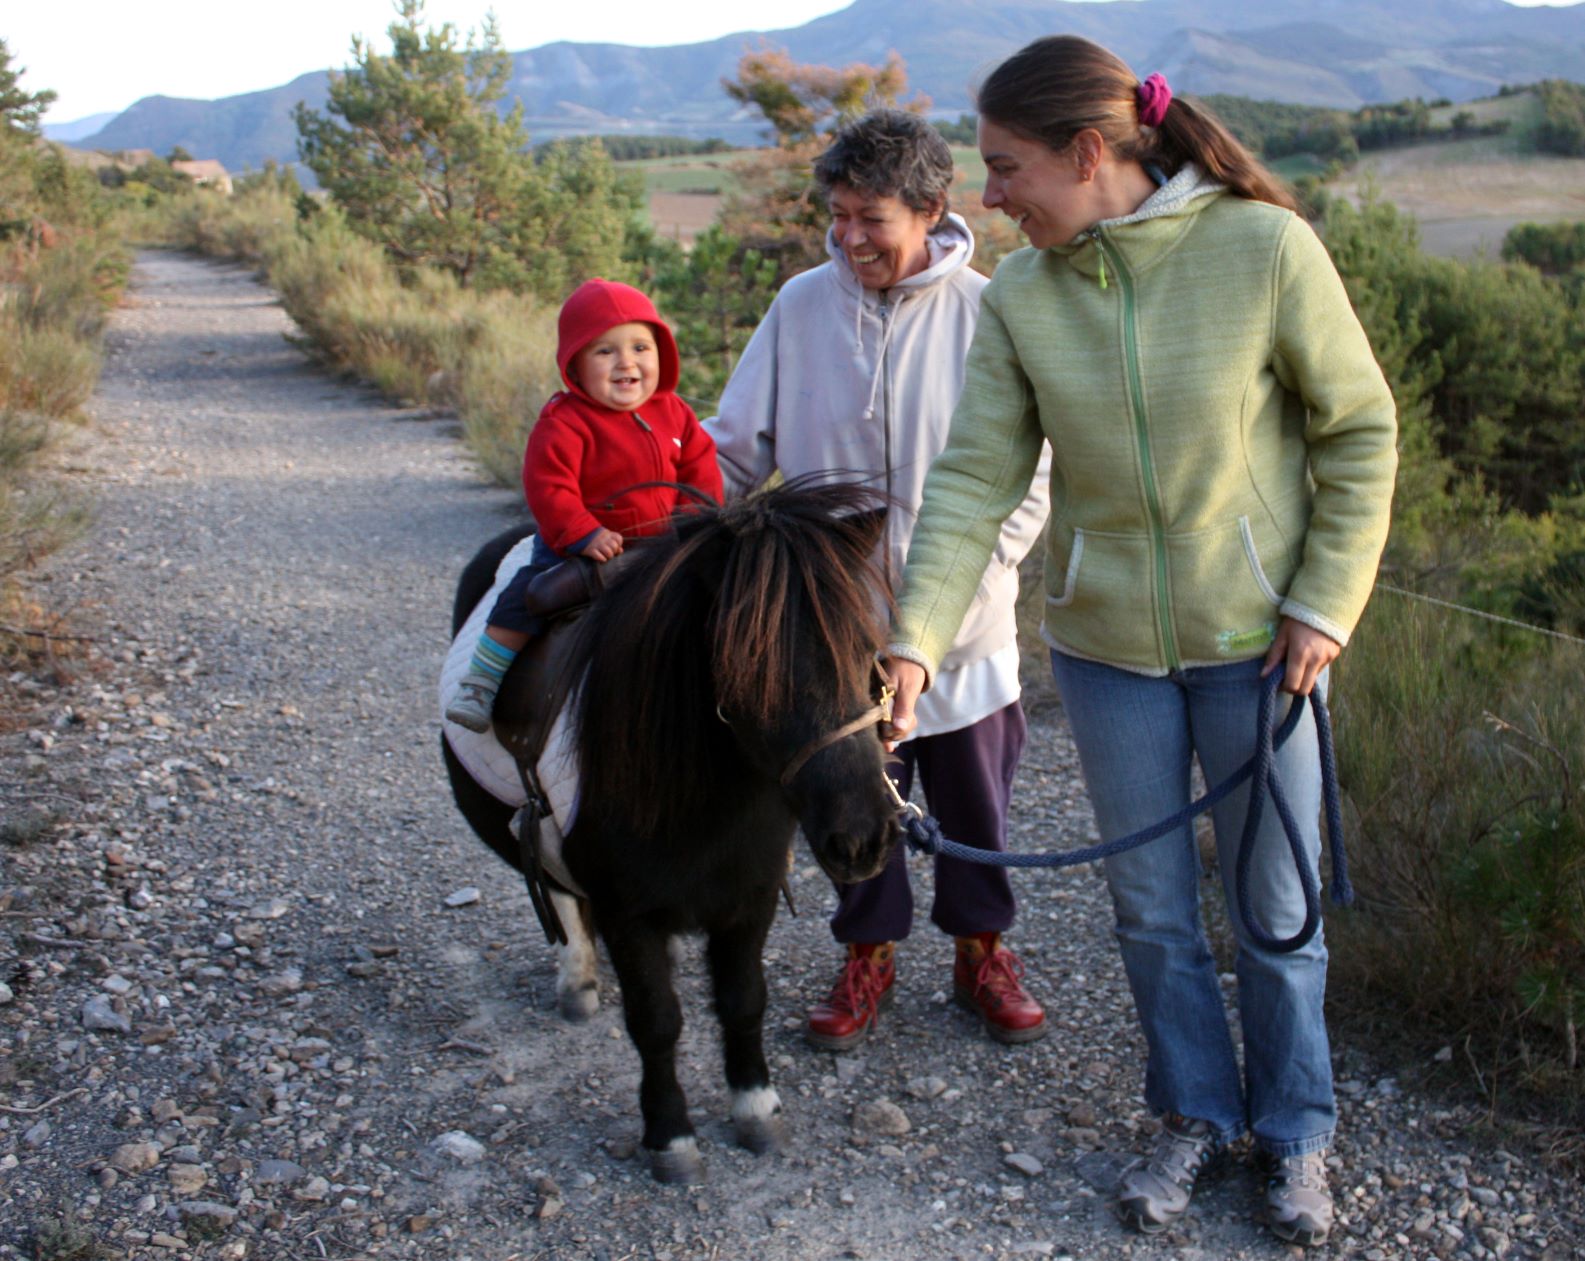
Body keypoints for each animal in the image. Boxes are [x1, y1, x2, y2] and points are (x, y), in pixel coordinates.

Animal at [443, 481, 906, 1184]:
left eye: (867, 651)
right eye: (748, 670)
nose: (863, 839)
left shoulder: (751, 902)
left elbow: (744, 1000)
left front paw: (756, 1108)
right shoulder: (627, 914)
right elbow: (656, 1021)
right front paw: (670, 1136)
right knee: (562, 897)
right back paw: (576, 981)